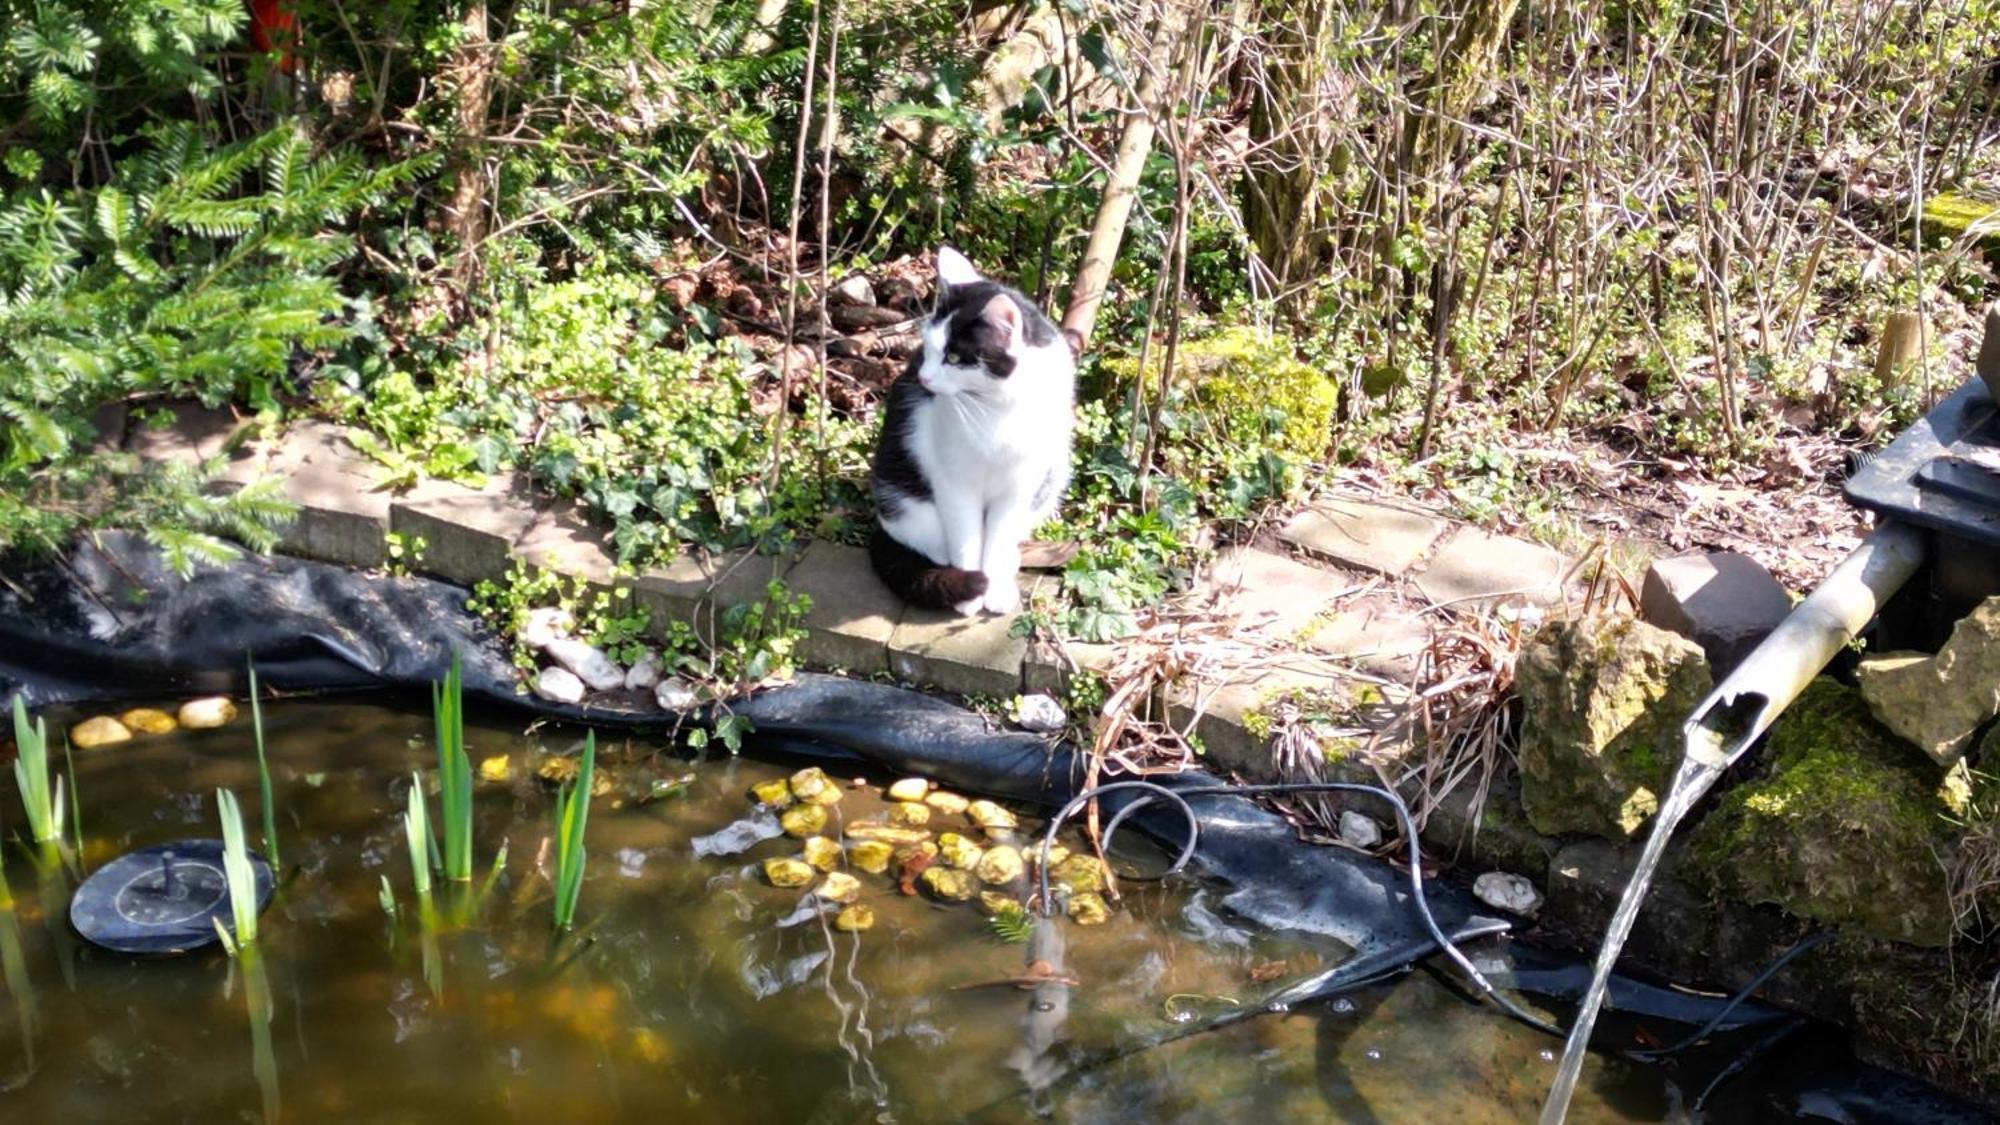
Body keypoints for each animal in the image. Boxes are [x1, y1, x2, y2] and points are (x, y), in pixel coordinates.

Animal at [872, 246, 1080, 612]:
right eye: (927, 349)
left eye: (955, 358)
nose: (924, 378)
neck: (995, 409)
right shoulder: (953, 480)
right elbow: (966, 539)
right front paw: (969, 594)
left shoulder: (1021, 485)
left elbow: (998, 539)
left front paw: (995, 591)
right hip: (900, 492)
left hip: (1054, 475)